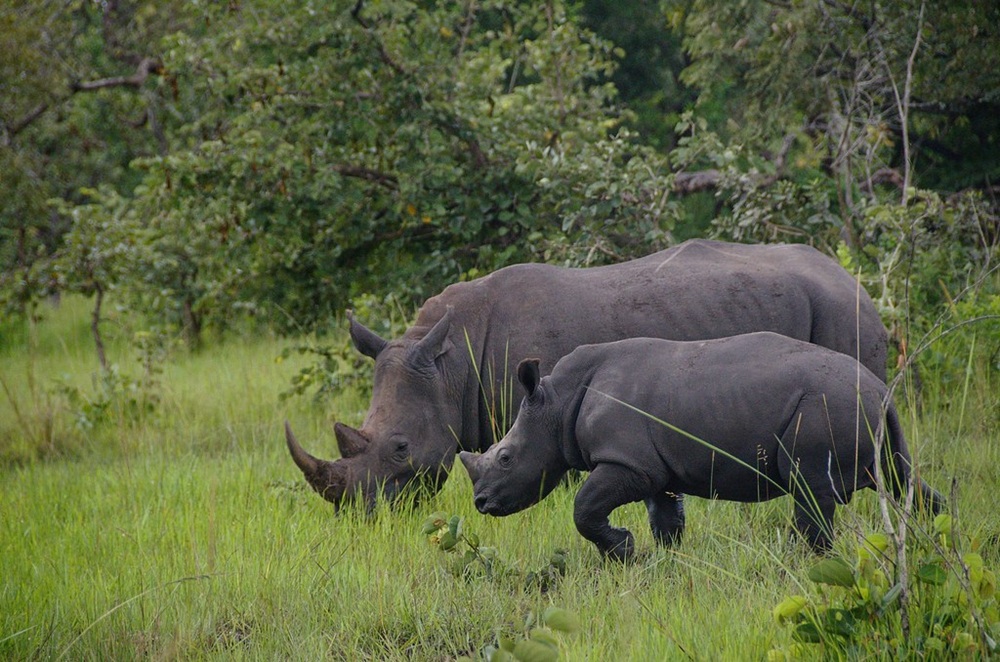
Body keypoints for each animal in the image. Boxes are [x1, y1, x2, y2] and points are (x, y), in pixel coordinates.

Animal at [459, 334, 943, 559]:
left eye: (505, 458)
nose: (481, 503)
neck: (556, 403)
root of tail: (881, 390)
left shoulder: (627, 462)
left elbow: (585, 507)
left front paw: (622, 551)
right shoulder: (655, 469)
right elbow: (666, 519)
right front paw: (659, 561)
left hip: (828, 406)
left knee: (810, 490)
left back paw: (798, 560)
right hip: (867, 414)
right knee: (902, 480)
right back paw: (938, 535)